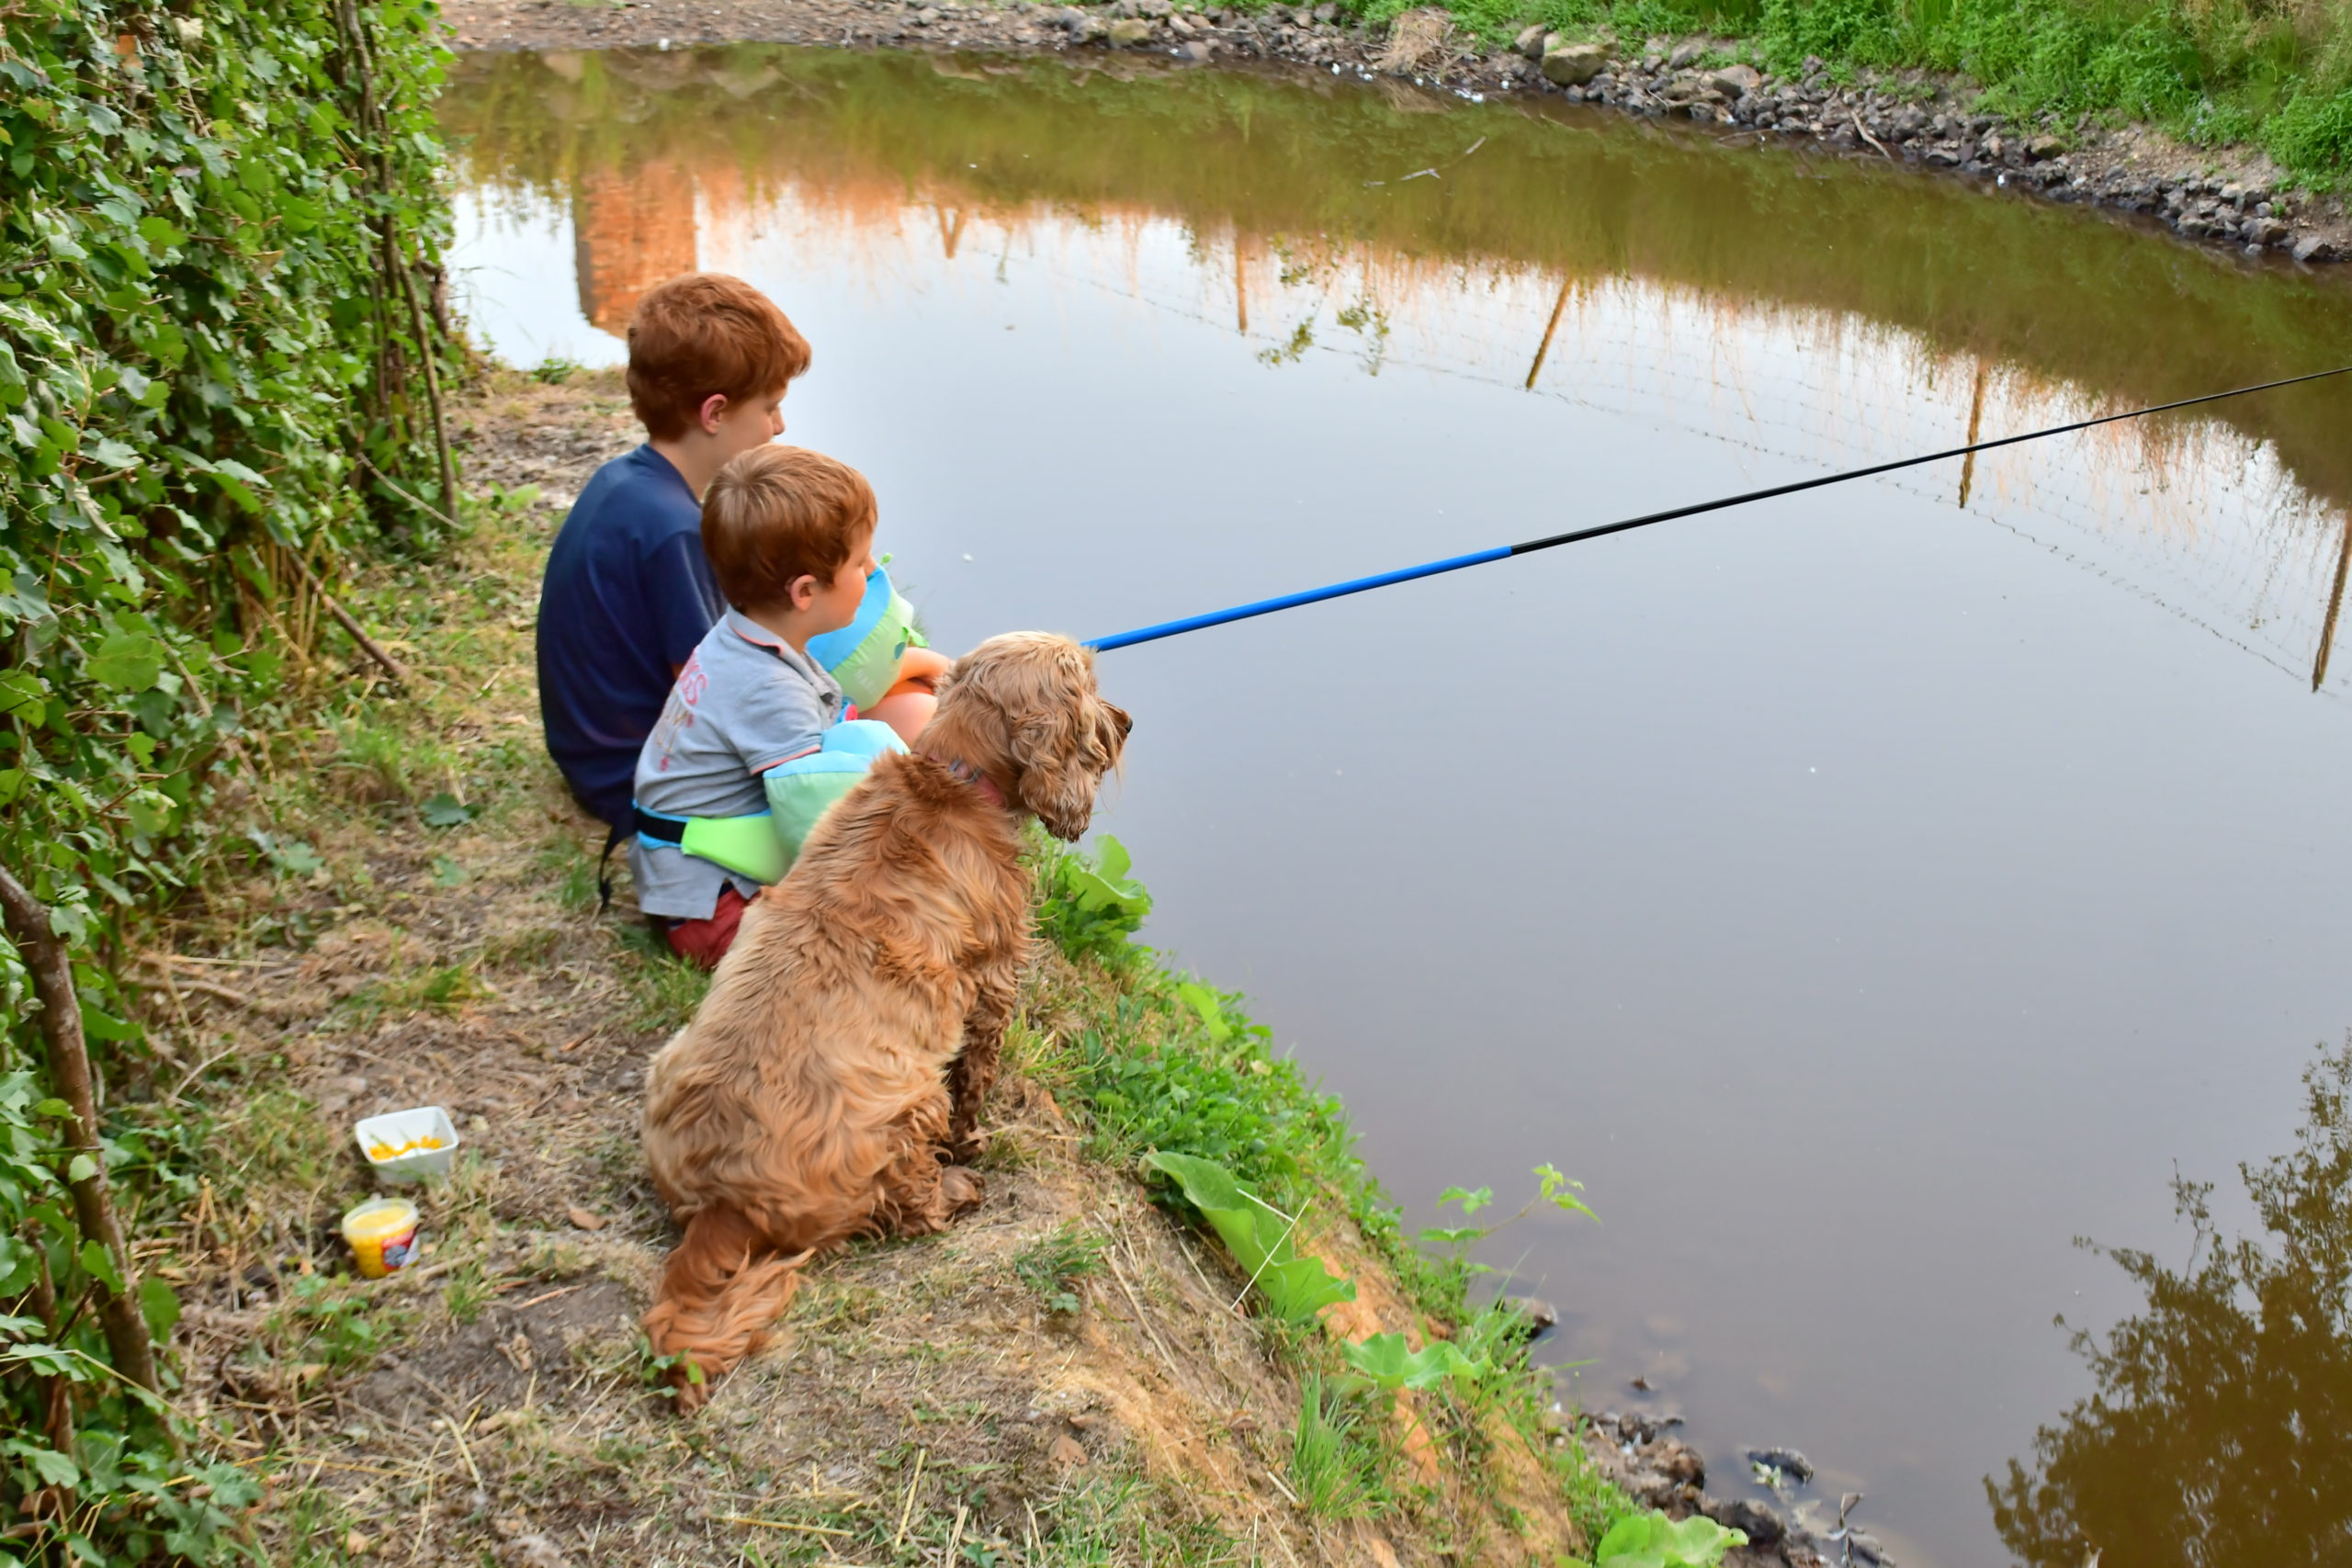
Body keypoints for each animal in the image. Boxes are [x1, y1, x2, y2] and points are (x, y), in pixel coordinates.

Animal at [635, 629, 1128, 1401]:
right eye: (1089, 685)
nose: (1128, 721)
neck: (953, 779)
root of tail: (723, 1201)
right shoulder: (995, 983)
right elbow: (976, 1078)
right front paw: (974, 1143)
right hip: (907, 1101)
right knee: (913, 1204)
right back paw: (957, 1187)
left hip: (664, 1067)